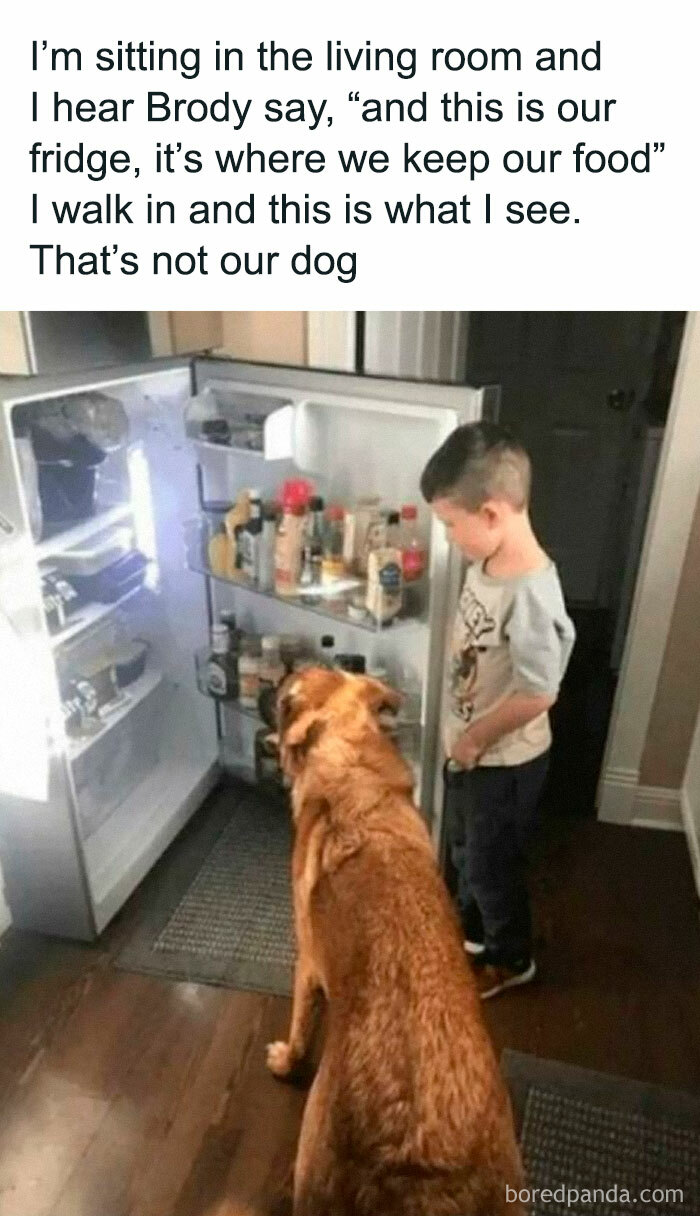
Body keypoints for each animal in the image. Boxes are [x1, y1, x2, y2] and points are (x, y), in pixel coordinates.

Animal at [267, 666, 525, 1216]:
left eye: (285, 697)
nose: (277, 681)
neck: (352, 767)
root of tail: (420, 1153)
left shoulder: (307, 962)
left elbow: (300, 1025)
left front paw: (286, 1061)